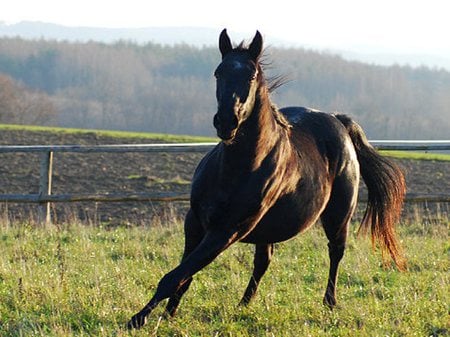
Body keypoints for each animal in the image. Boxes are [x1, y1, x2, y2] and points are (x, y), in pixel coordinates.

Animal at [127, 28, 408, 328]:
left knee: (335, 252)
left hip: (338, 215)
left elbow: (175, 276)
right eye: (218, 73)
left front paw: (139, 318)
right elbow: (184, 274)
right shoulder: (195, 222)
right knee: (264, 261)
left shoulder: (227, 230)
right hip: (269, 227)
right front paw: (168, 313)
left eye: (251, 75)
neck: (236, 169)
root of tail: (337, 121)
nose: (226, 122)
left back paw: (329, 302)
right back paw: (242, 305)